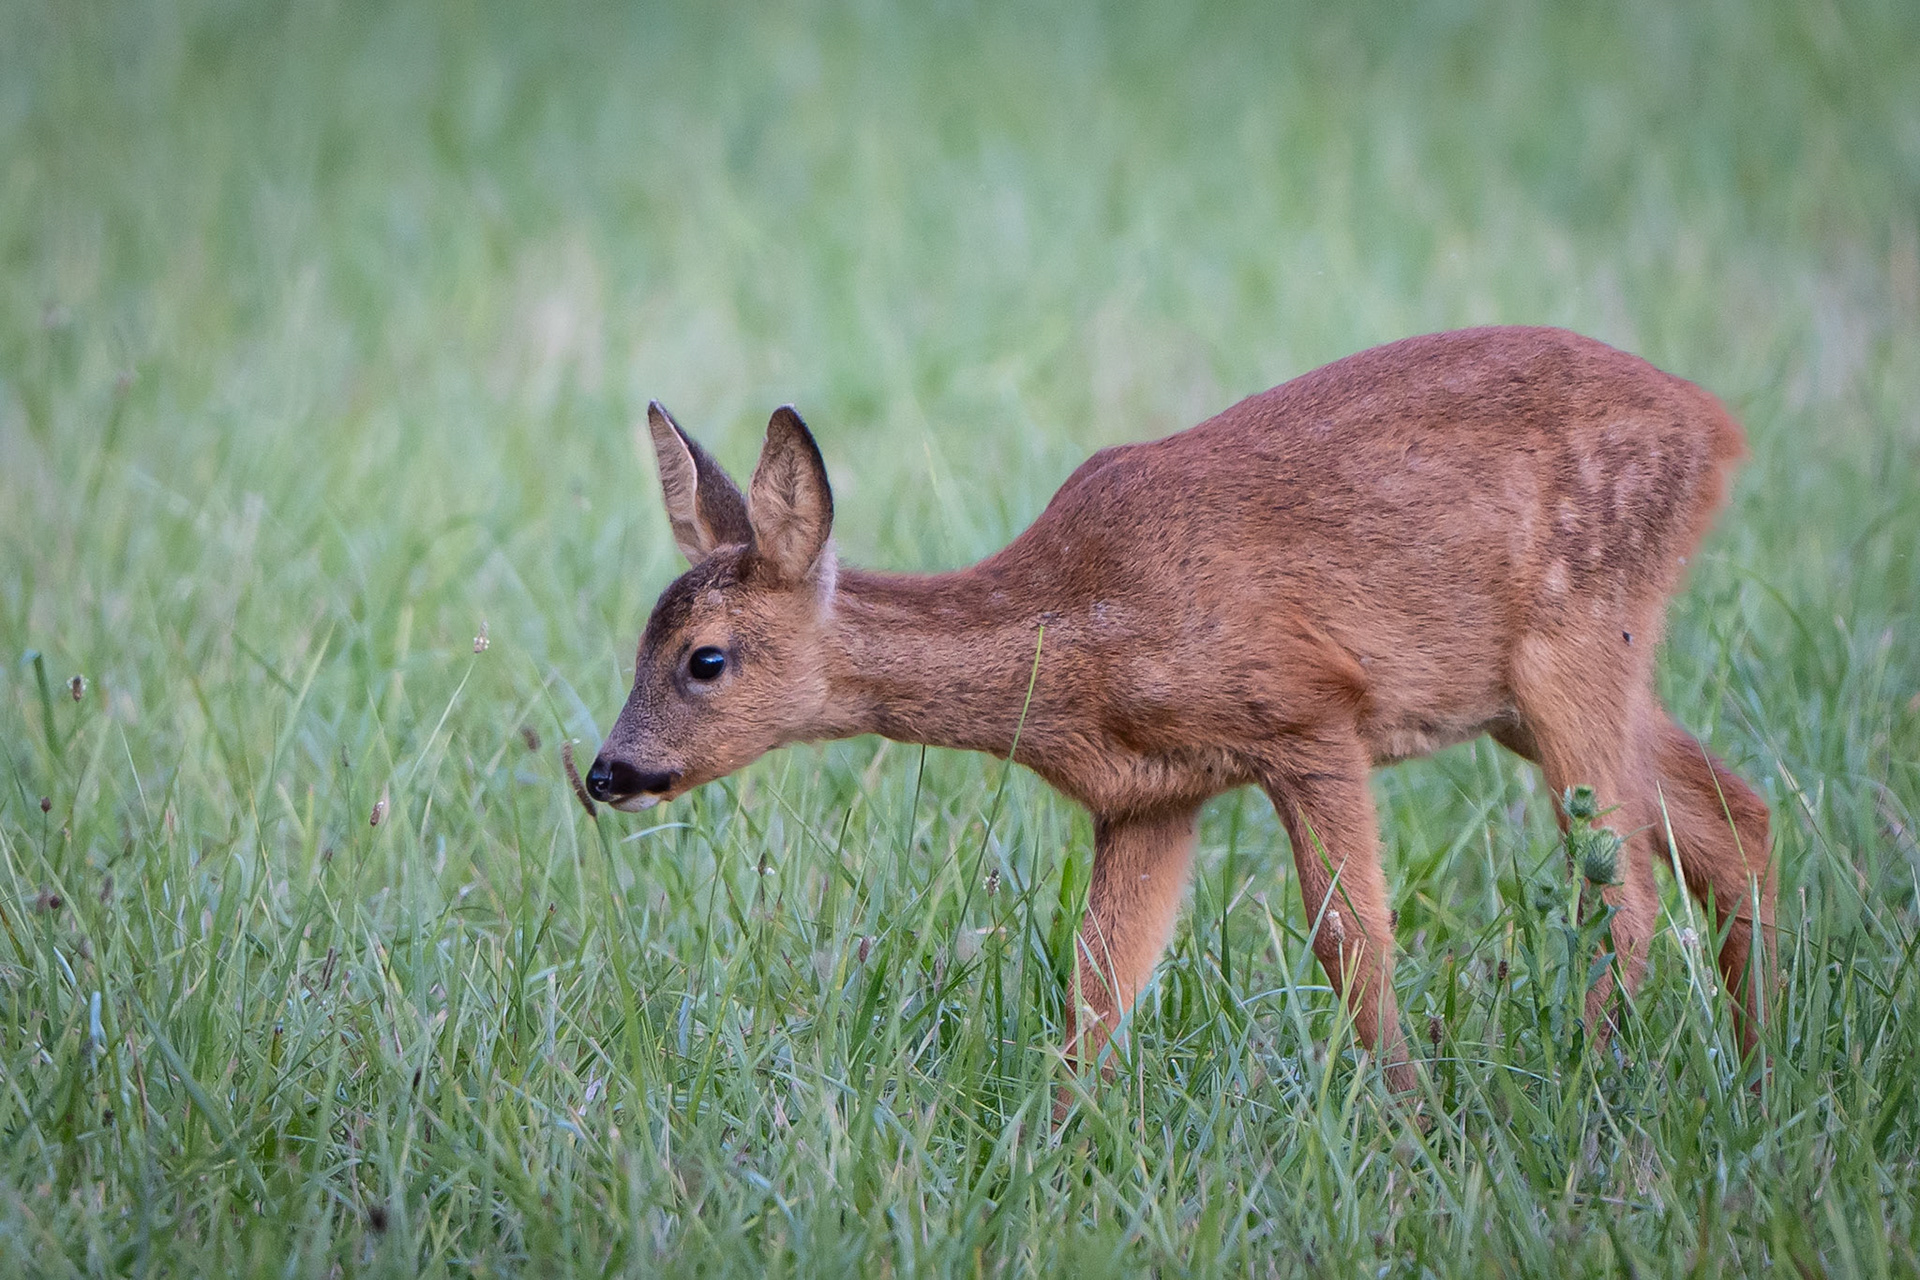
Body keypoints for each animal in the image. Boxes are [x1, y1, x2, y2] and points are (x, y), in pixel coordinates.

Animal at [586, 326, 1776, 1101]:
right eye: (641, 638)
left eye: (704, 659)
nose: (606, 771)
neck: (1075, 635)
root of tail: (1722, 430)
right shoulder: (1149, 795)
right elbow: (1100, 986)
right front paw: (1052, 1152)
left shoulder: (1309, 708)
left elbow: (1353, 941)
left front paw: (1413, 1124)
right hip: (1537, 686)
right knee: (1737, 824)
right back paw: (1758, 1071)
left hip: (1578, 633)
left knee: (1625, 888)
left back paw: (1594, 1086)